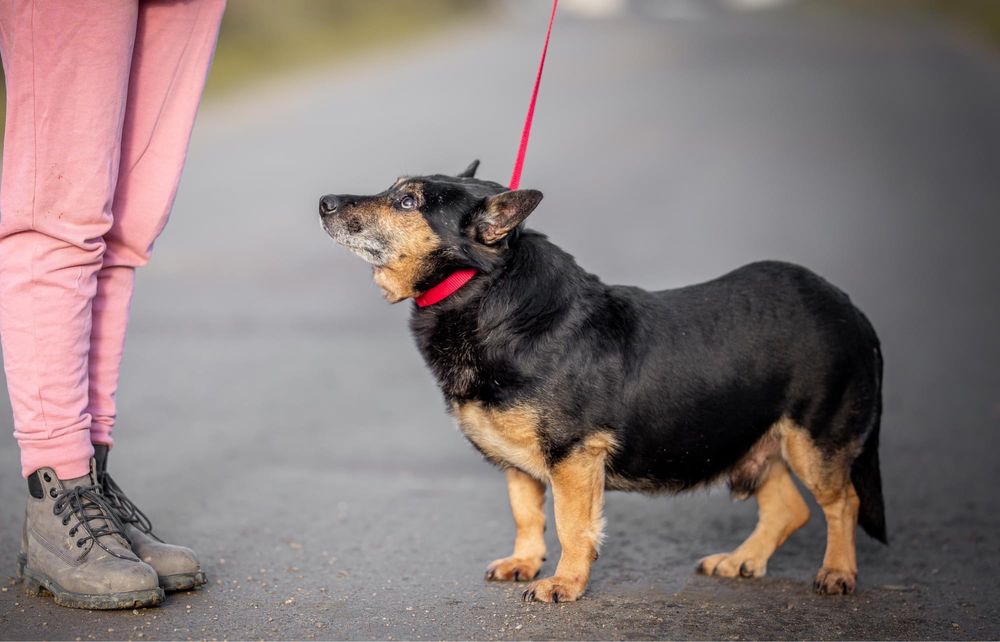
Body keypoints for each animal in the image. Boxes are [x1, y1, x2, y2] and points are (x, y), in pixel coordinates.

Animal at [318, 160, 884, 600]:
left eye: (407, 201)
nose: (323, 201)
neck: (485, 289)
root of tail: (851, 309)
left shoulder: (575, 457)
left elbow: (572, 527)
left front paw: (563, 585)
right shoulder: (518, 465)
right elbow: (527, 516)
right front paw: (524, 562)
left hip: (814, 442)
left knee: (843, 503)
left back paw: (837, 572)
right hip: (750, 441)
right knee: (791, 509)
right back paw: (741, 560)